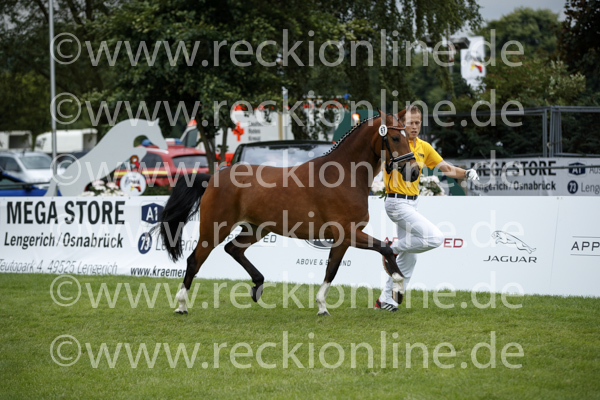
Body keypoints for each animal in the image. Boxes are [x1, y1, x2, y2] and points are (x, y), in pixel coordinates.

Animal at [156, 109, 419, 315]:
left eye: (408, 136)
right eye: (395, 137)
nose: (414, 171)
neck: (344, 175)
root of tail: (212, 177)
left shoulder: (342, 238)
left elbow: (333, 268)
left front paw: (322, 306)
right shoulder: (348, 233)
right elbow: (382, 250)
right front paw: (398, 288)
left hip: (255, 229)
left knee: (233, 249)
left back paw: (258, 286)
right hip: (214, 229)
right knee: (195, 260)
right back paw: (181, 305)